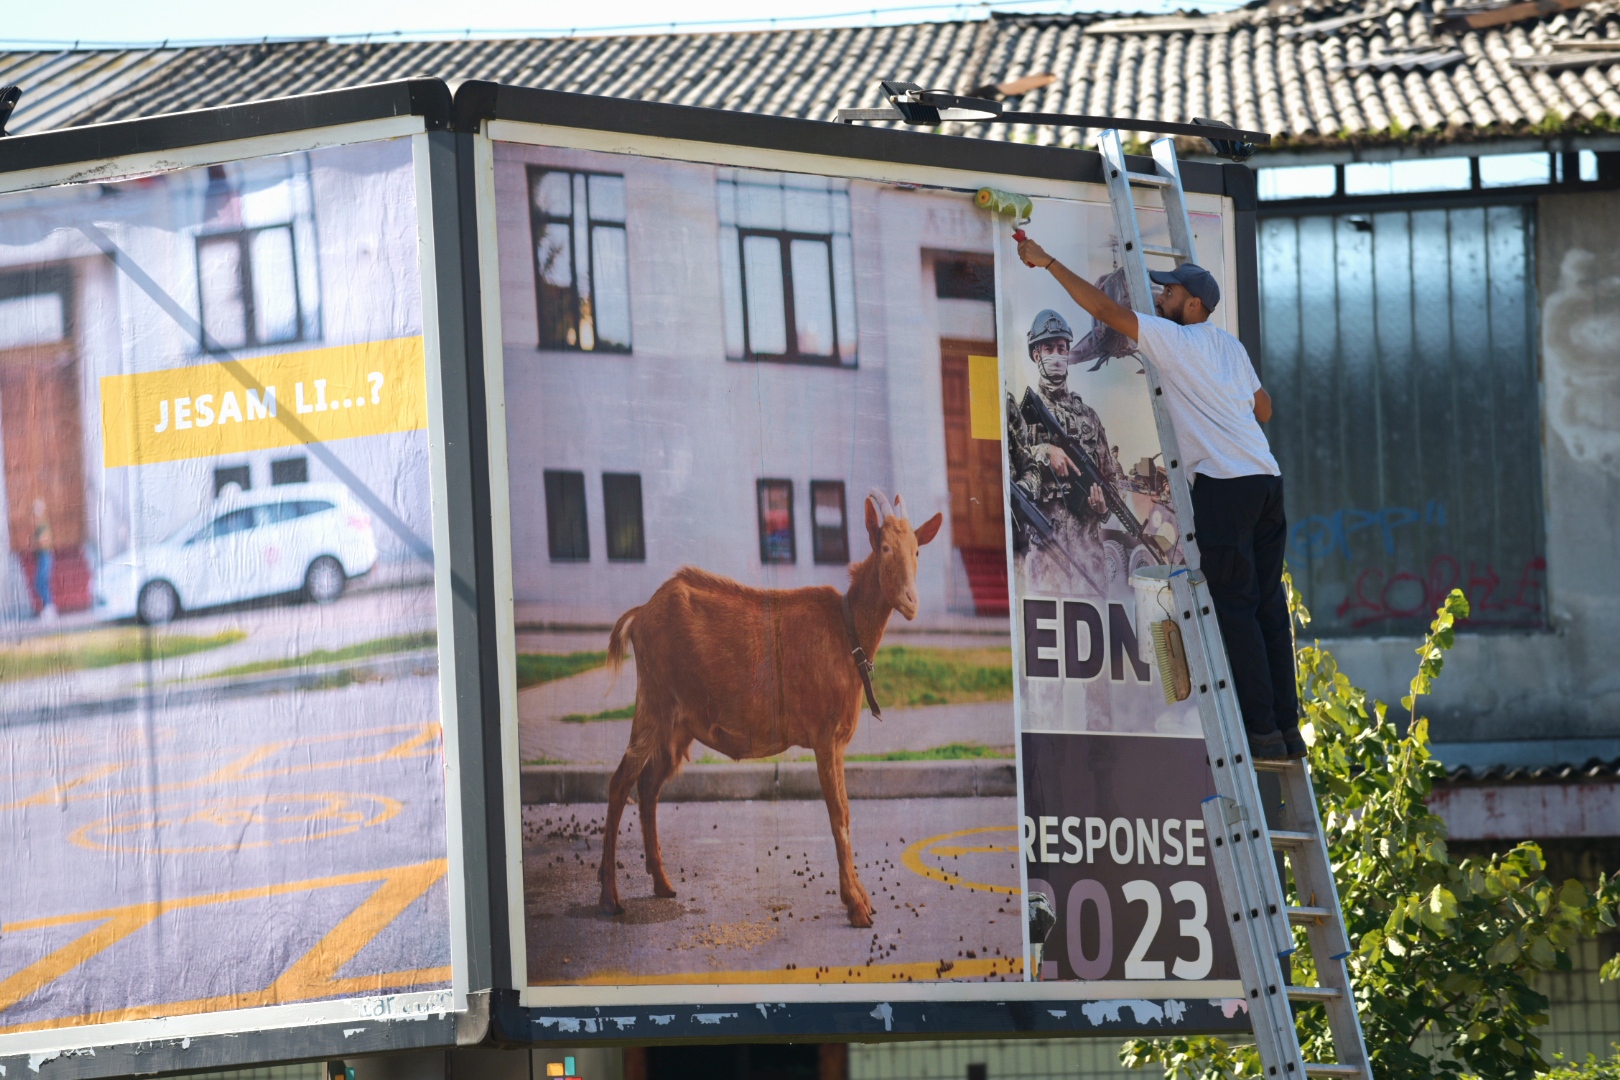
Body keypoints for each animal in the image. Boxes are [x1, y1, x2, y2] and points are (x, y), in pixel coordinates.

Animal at [602, 495, 946, 926]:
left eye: (917, 550)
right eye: (883, 547)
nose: (911, 602)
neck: (847, 631)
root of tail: (639, 614)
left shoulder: (836, 741)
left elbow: (846, 813)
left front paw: (862, 898)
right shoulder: (825, 737)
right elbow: (839, 815)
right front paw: (856, 905)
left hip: (677, 725)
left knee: (648, 787)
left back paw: (662, 883)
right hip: (653, 701)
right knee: (620, 782)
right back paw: (611, 898)